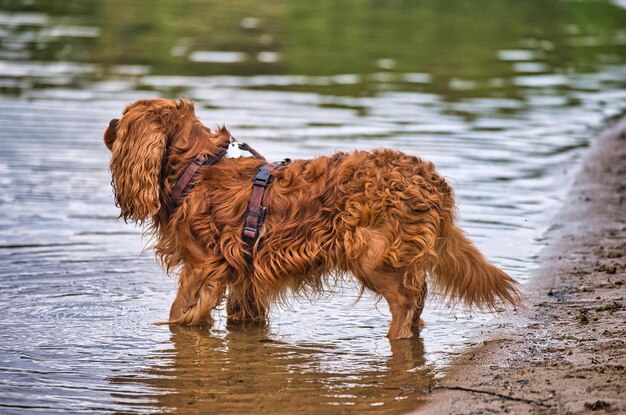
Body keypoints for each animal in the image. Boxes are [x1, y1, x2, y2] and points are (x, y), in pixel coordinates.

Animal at [105, 99, 520, 340]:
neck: (197, 166)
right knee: (418, 299)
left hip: (370, 255)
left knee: (405, 300)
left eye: (122, 118)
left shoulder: (201, 267)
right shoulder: (244, 275)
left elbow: (180, 313)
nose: (108, 124)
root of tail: (432, 181)